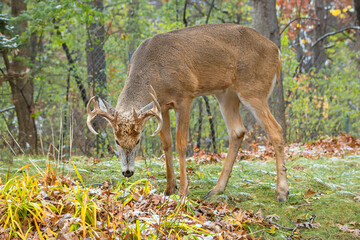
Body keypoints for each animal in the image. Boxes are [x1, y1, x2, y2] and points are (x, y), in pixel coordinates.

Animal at [86, 23, 290, 201]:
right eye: (116, 140)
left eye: (138, 141)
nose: (127, 172)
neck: (155, 72)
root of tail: (277, 51)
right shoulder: (161, 106)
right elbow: (166, 144)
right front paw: (169, 188)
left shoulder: (185, 96)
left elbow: (181, 144)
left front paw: (183, 191)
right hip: (226, 94)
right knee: (238, 131)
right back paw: (216, 189)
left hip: (254, 89)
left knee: (276, 130)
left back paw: (282, 192)